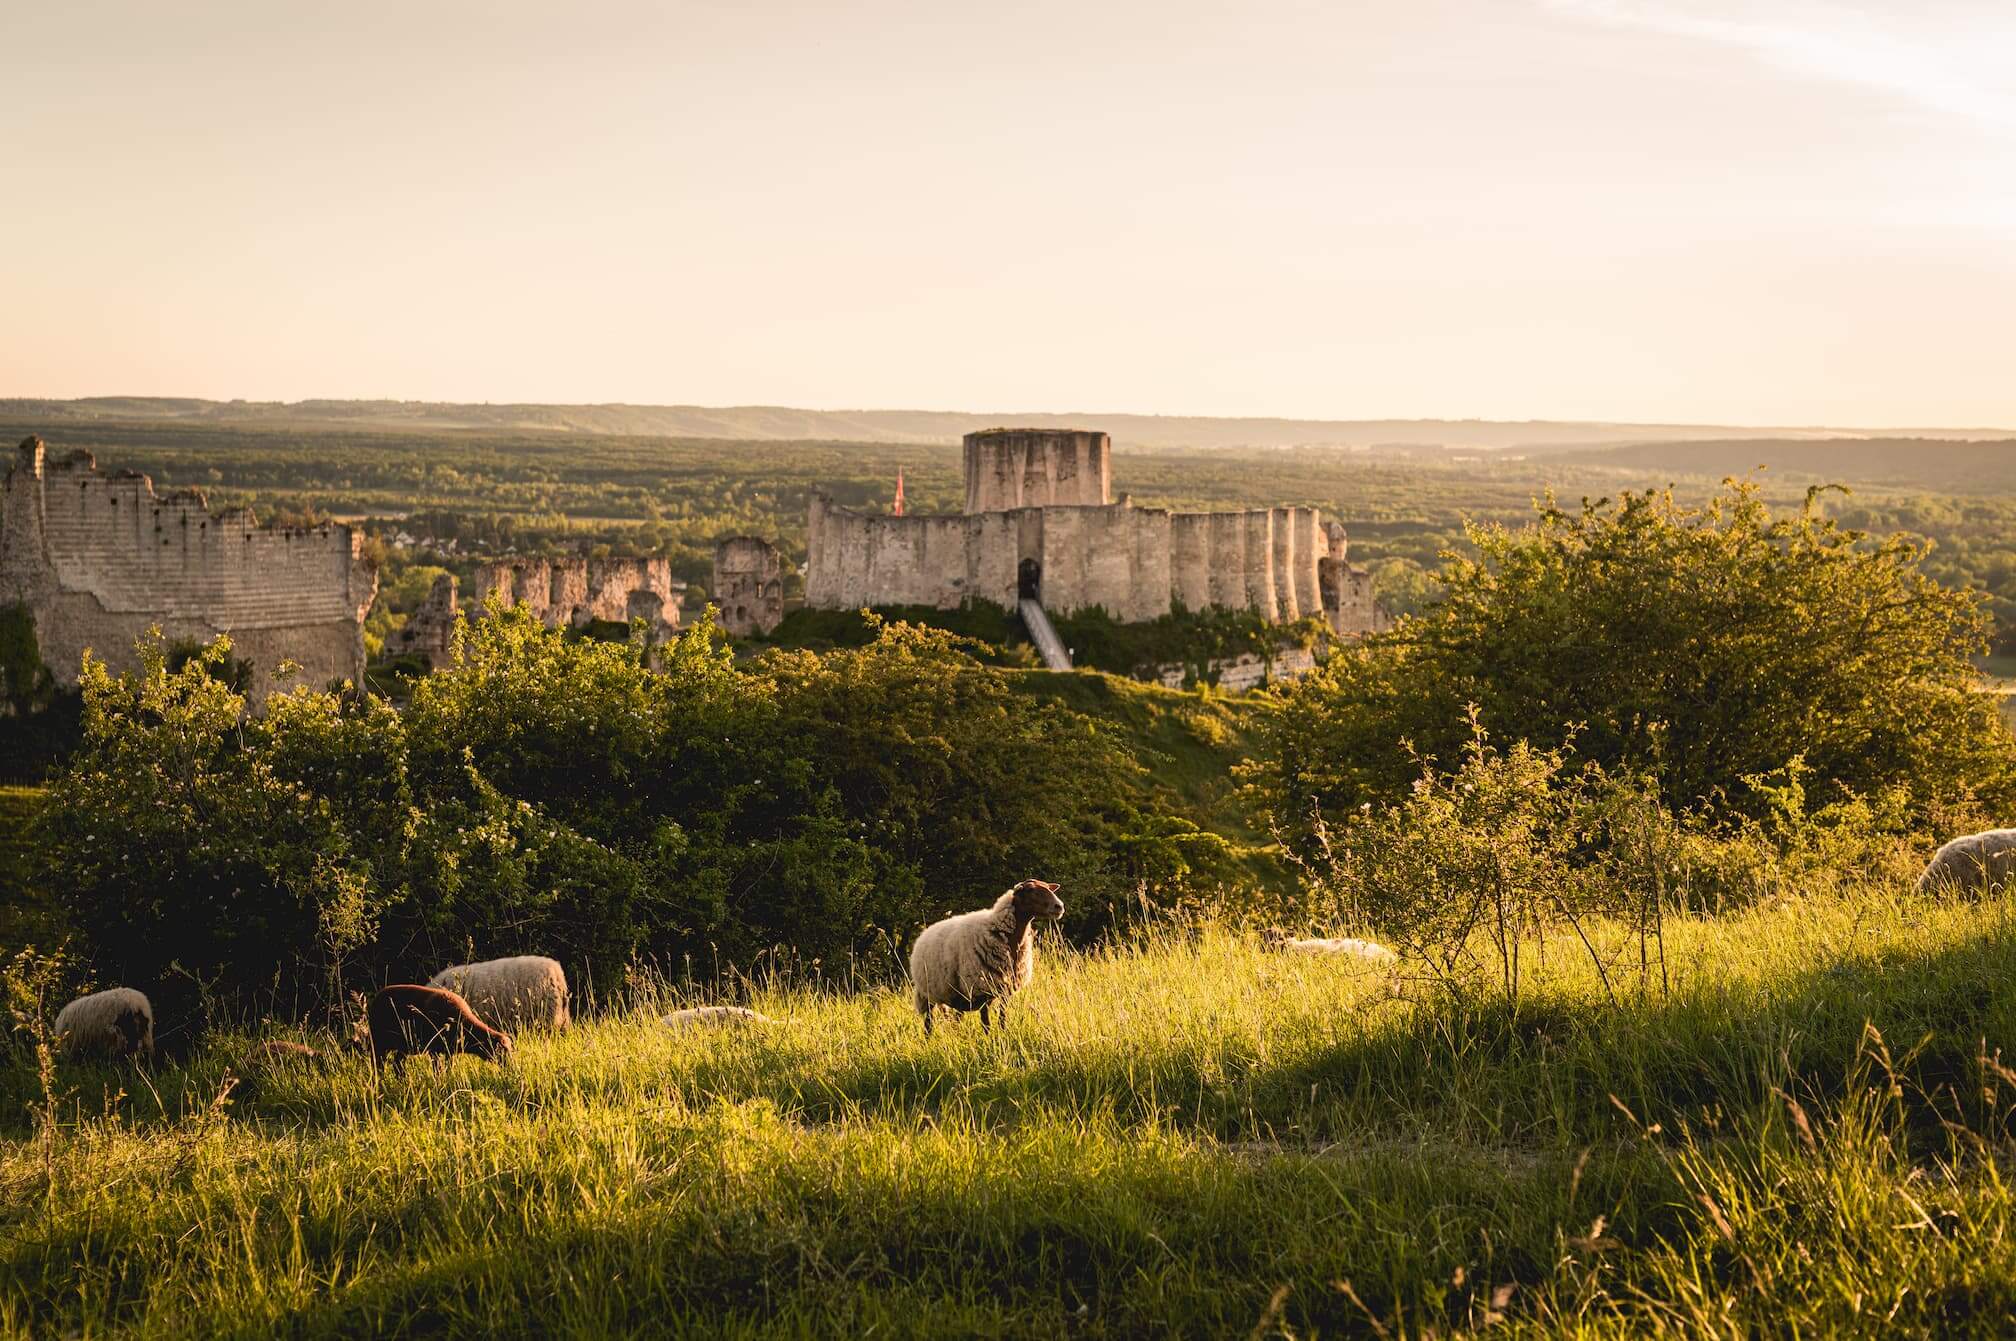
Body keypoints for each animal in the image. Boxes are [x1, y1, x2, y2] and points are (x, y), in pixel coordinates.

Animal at [368, 980, 516, 1064]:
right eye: (502, 1052)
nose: (511, 1067)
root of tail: (377, 997)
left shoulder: (449, 1051)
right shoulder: (434, 1049)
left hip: (403, 1046)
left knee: (397, 1065)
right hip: (378, 1042)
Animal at [915, 879, 1072, 1032]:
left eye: (1048, 888)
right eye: (1031, 890)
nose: (1059, 906)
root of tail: (926, 931)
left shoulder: (1005, 991)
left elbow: (1002, 1017)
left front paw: (1003, 1034)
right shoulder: (983, 989)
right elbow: (986, 1023)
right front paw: (989, 1038)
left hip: (956, 994)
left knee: (956, 1018)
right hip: (926, 994)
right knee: (928, 1023)